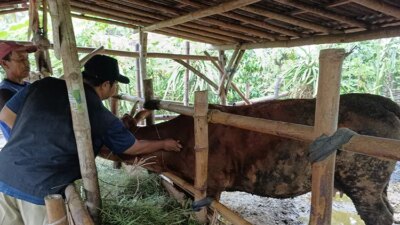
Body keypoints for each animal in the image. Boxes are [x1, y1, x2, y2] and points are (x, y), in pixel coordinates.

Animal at [111, 93, 398, 225]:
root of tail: (379, 101)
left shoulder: (211, 184)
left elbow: (208, 213)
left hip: (363, 181)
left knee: (380, 216)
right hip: (376, 186)